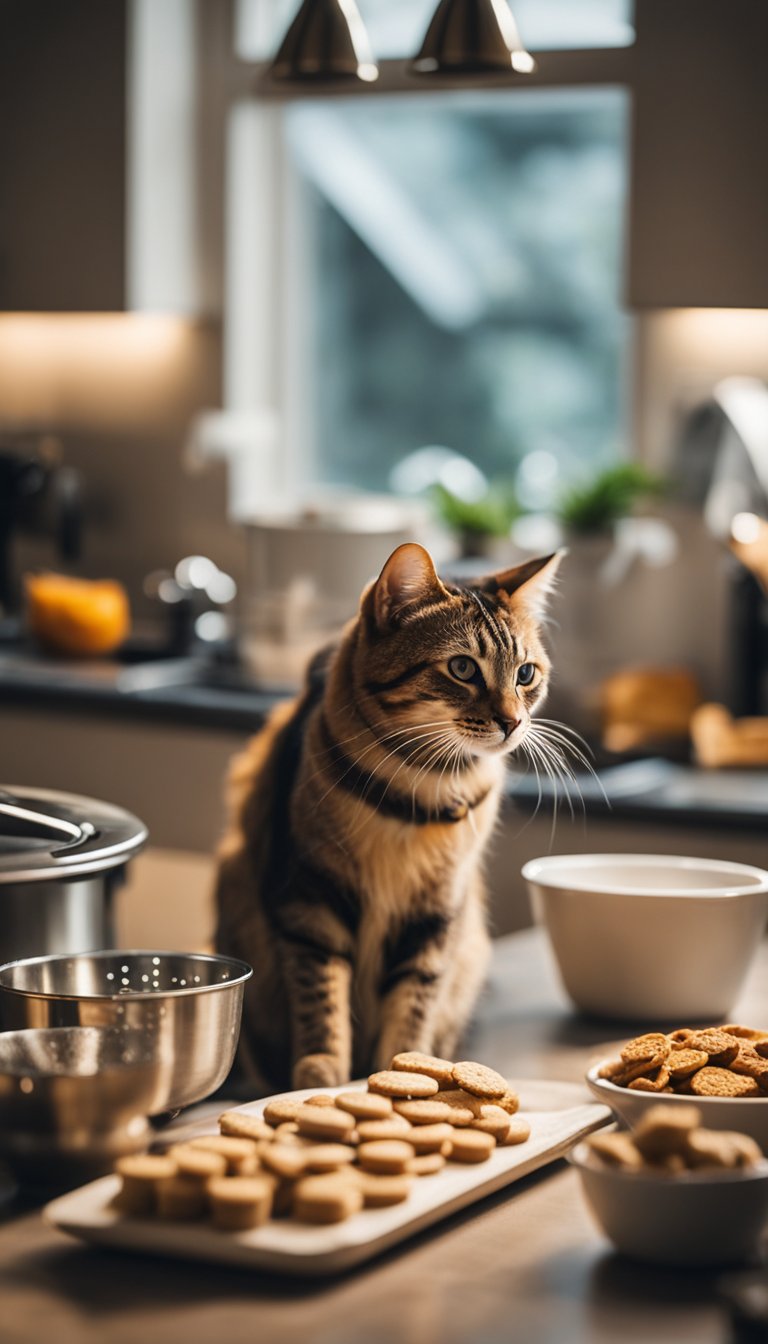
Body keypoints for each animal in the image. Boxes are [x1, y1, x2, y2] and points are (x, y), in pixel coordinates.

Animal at [216, 542, 564, 1091]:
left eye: (525, 674)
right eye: (462, 668)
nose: (513, 722)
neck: (418, 794)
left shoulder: (435, 911)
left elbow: (414, 1003)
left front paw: (408, 1065)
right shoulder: (310, 896)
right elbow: (321, 998)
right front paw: (320, 1074)